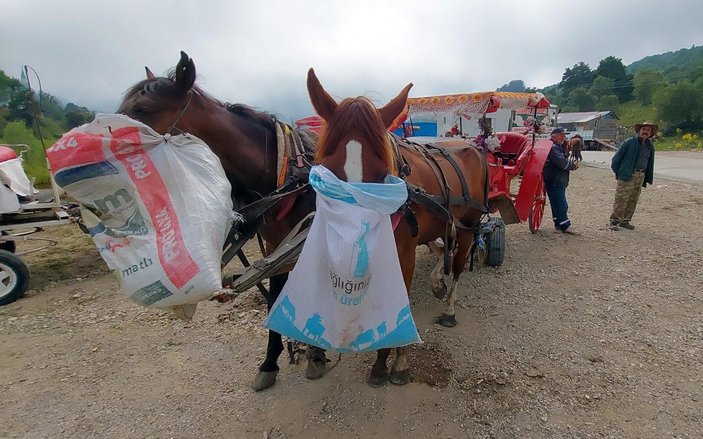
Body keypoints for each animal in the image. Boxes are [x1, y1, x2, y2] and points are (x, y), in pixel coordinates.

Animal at [117, 52, 490, 392]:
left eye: (143, 110)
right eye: (323, 170)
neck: (280, 174)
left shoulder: (399, 250)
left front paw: (389, 360)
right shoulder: (279, 246)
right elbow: (277, 298)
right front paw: (278, 360)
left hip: (470, 223)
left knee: (459, 262)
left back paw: (449, 305)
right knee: (442, 247)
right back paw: (437, 281)